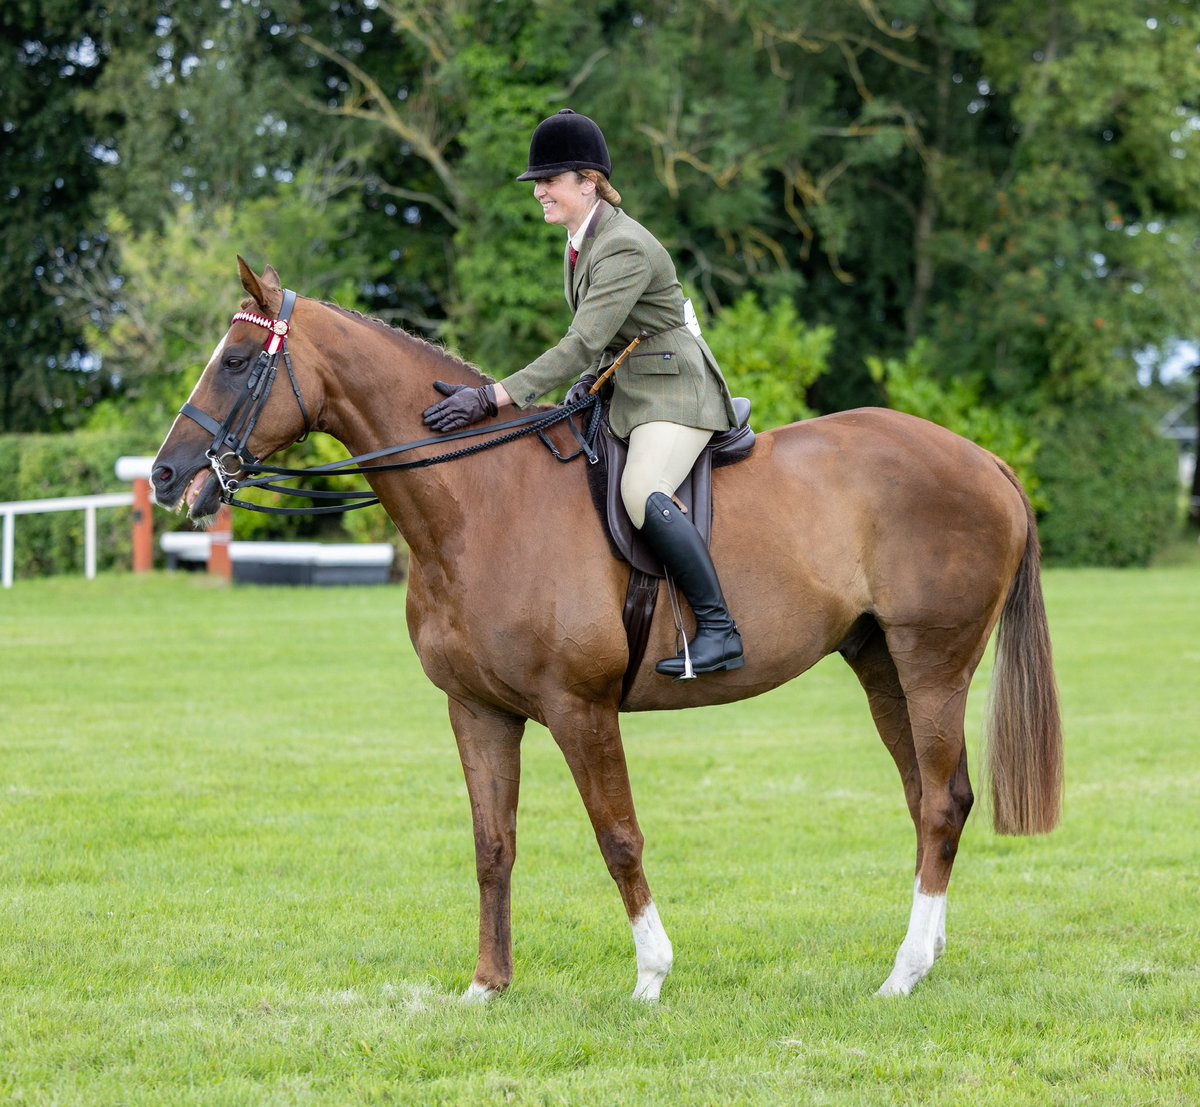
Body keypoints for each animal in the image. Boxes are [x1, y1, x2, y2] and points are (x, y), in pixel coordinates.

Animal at [151, 259, 1062, 1003]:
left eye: (237, 361)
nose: (165, 475)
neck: (481, 500)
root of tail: (986, 461)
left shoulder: (578, 708)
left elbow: (617, 835)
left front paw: (652, 974)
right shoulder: (477, 710)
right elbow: (492, 844)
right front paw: (486, 985)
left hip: (933, 661)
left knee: (940, 802)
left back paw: (901, 974)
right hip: (879, 661)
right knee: (930, 799)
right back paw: (925, 957)